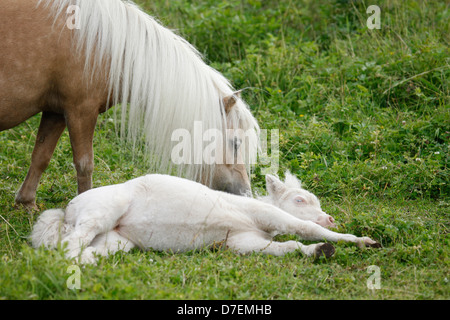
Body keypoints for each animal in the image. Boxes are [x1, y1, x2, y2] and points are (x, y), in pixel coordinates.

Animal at [0, 0, 258, 209]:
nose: (245, 193)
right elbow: (84, 165)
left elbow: (41, 156)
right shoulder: (81, 110)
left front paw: (26, 203)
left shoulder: (55, 111)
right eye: (235, 143)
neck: (101, 44)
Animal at [29, 171, 380, 264]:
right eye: (299, 199)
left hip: (116, 241)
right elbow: (303, 228)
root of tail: (67, 211)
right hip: (101, 213)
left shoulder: (241, 243)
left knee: (85, 251)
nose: (330, 218)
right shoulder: (270, 215)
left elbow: (287, 247)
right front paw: (363, 241)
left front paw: (320, 250)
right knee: (70, 245)